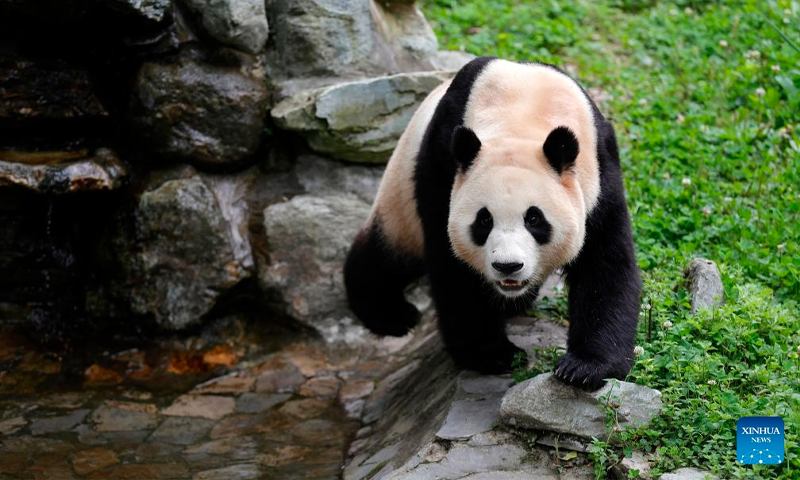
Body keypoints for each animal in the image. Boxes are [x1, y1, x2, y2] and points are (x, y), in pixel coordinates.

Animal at [344, 57, 641, 390]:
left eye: (534, 218)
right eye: (484, 220)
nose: (507, 266)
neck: (524, 112)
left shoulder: (601, 172)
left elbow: (604, 263)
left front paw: (583, 367)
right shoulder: (442, 164)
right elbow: (452, 266)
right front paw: (493, 355)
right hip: (401, 193)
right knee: (386, 256)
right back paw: (393, 316)